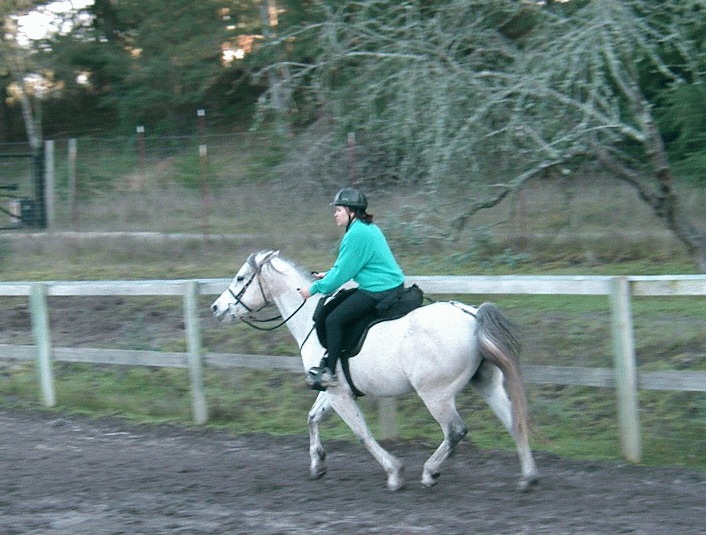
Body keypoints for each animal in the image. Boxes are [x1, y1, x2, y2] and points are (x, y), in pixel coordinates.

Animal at [211, 250, 539, 492]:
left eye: (240, 277)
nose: (216, 308)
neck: (310, 318)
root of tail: (471, 315)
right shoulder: (333, 388)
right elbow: (312, 417)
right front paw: (318, 464)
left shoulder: (339, 393)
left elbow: (362, 434)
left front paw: (394, 473)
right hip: (487, 384)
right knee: (514, 422)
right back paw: (527, 477)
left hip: (436, 395)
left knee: (455, 431)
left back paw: (429, 472)